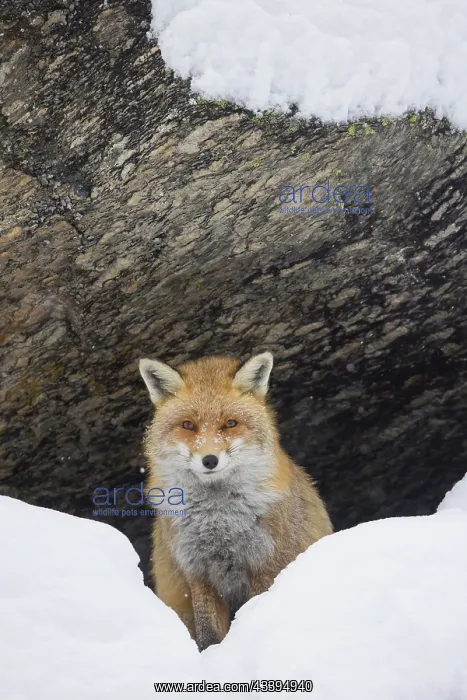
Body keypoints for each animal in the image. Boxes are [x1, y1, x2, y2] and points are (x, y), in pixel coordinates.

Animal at [139, 351, 333, 650]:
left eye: (230, 423)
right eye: (188, 425)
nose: (210, 460)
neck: (218, 520)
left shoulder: (266, 562)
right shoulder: (197, 572)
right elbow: (209, 633)